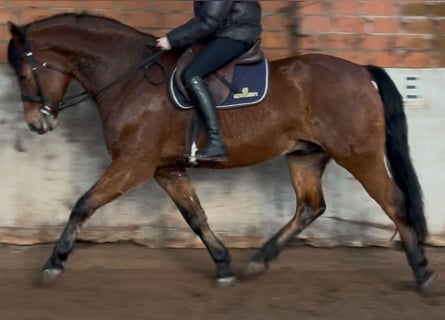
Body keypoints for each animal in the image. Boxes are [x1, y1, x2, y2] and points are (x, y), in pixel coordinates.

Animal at [6, 13, 434, 292]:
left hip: (359, 154)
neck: (129, 77)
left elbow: (83, 205)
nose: (37, 124)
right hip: (305, 155)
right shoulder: (166, 169)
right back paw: (258, 261)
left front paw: (53, 264)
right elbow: (195, 216)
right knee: (310, 207)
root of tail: (361, 71)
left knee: (394, 202)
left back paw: (423, 272)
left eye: (25, 72)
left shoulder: (133, 163)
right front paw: (224, 266)